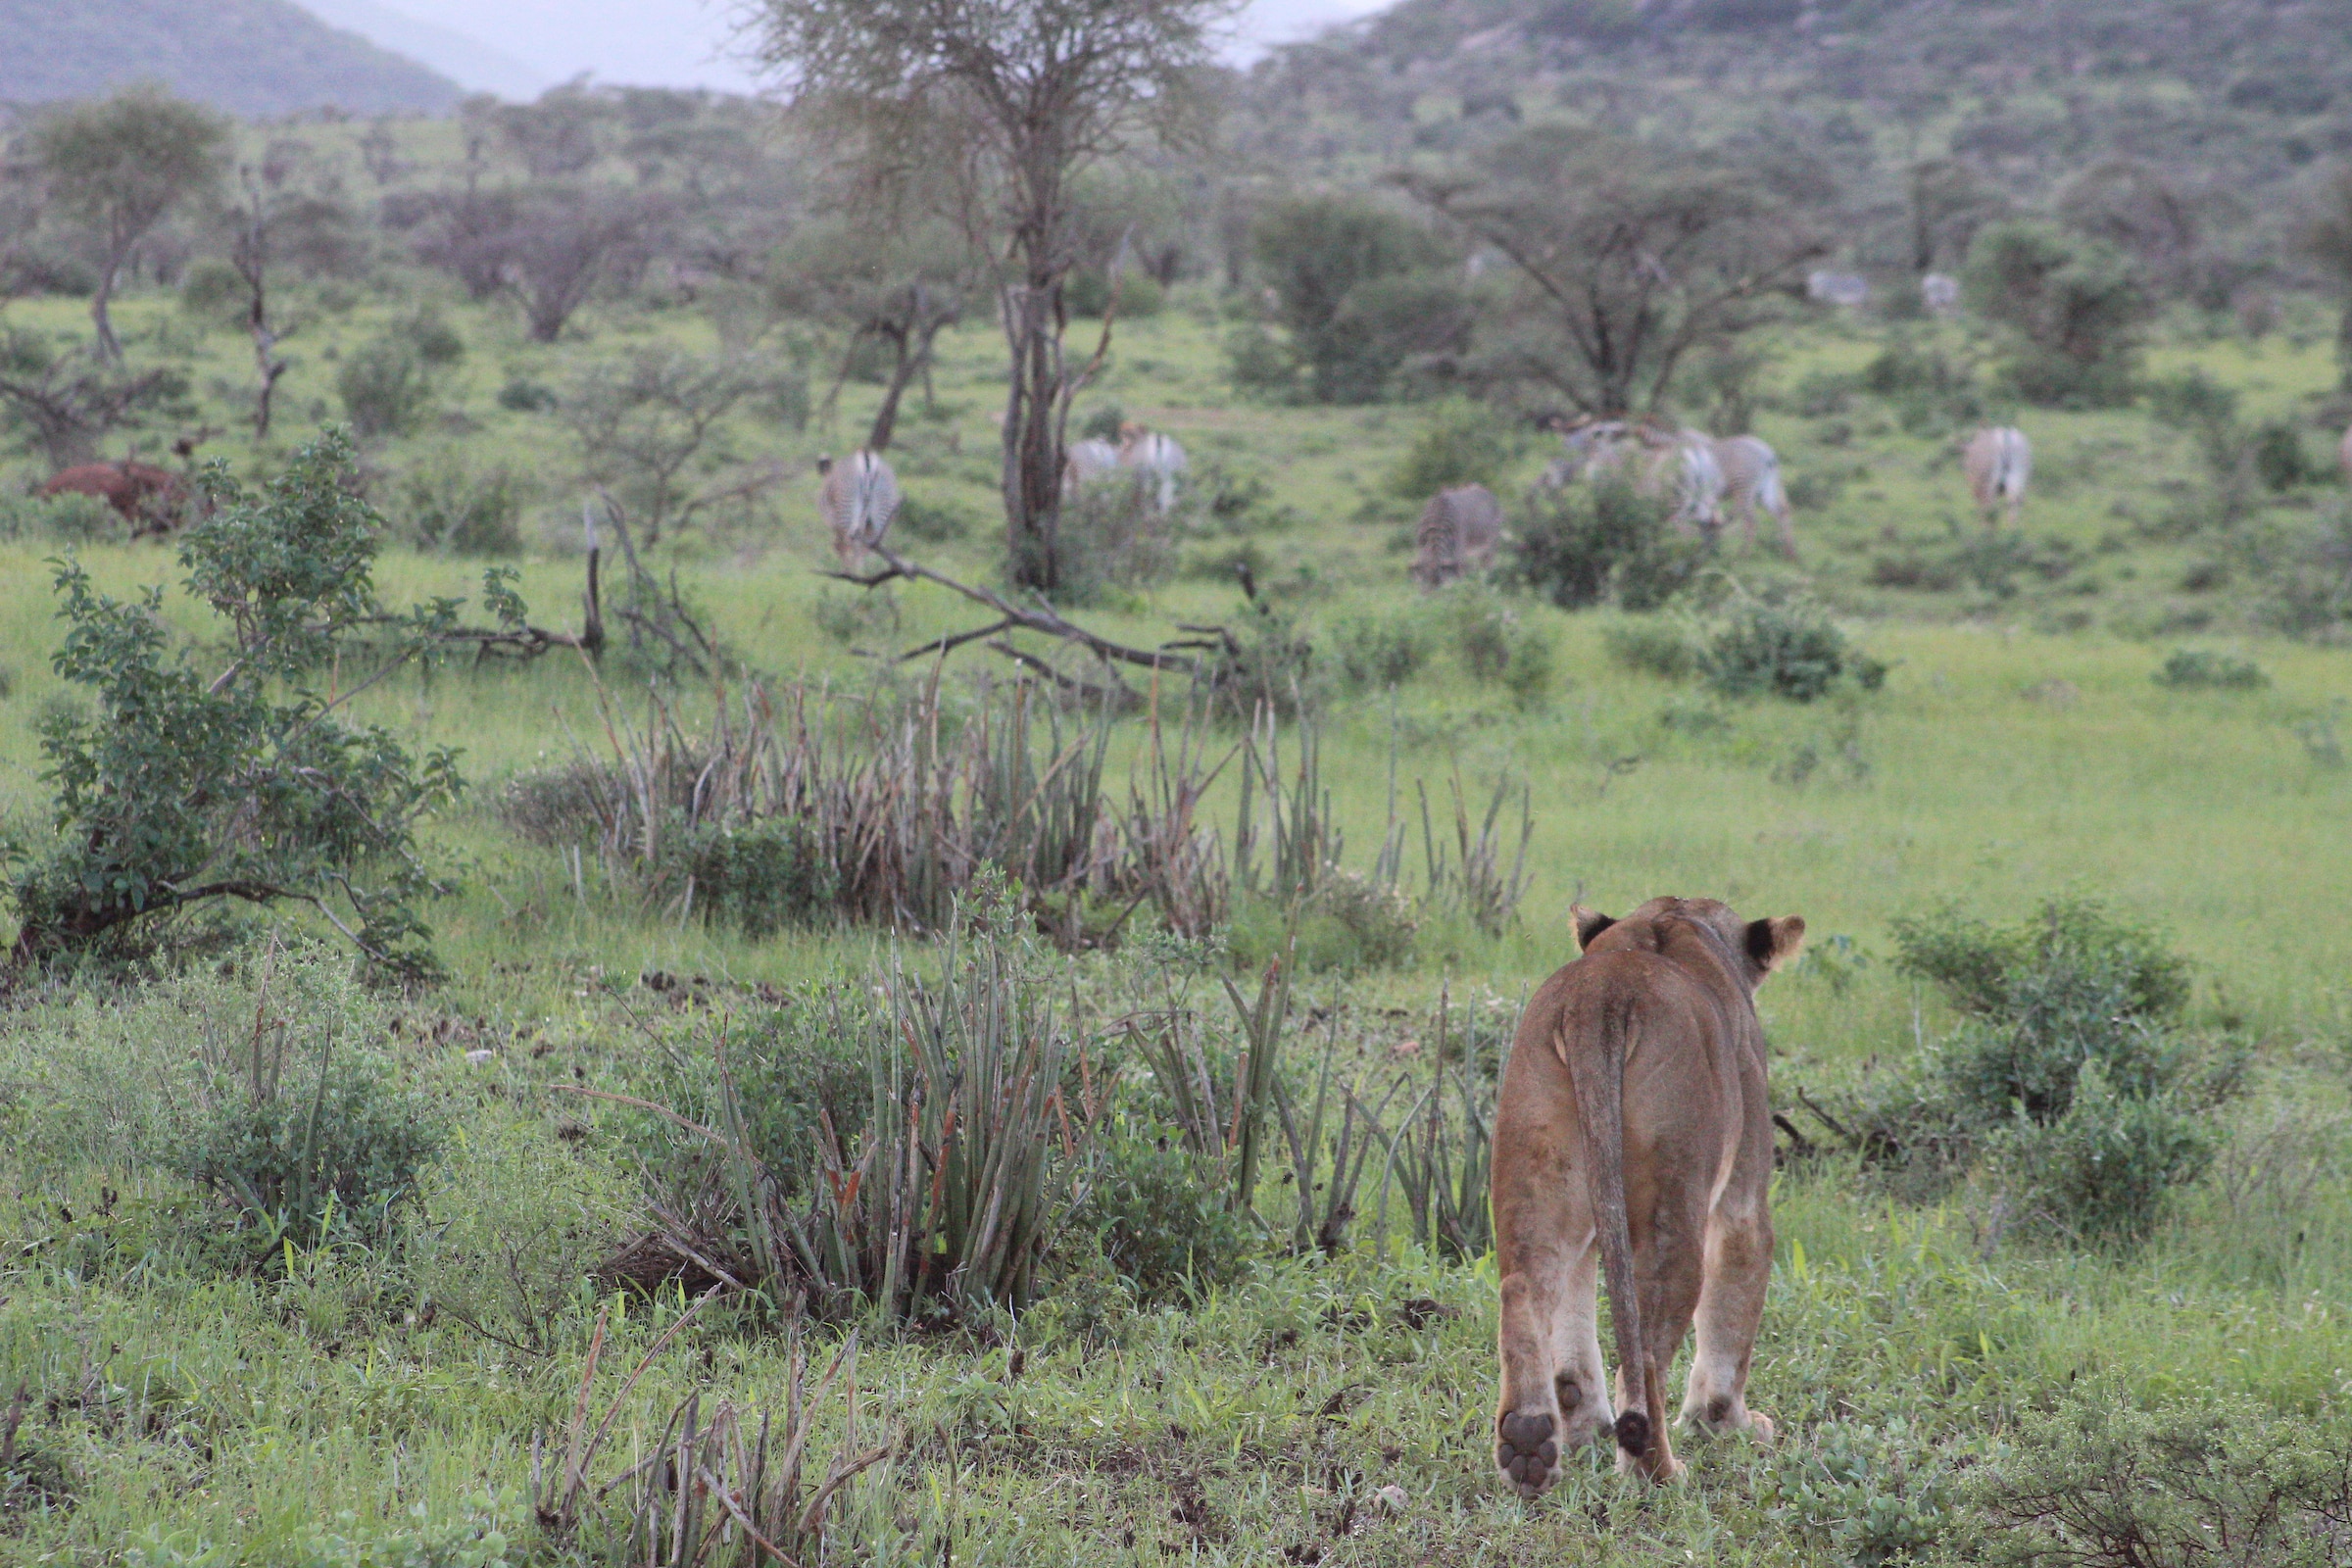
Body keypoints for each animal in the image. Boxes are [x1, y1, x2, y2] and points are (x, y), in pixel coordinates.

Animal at [1491, 895, 1805, 1492]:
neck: (1674, 918)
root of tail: (1599, 993)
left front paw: (1586, 1433)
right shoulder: (1745, 1195)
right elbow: (1737, 1297)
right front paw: (1725, 1424)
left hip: (1537, 1155)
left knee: (1523, 1287)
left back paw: (1530, 1444)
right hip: (1674, 1197)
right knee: (1646, 1353)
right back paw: (1657, 1471)